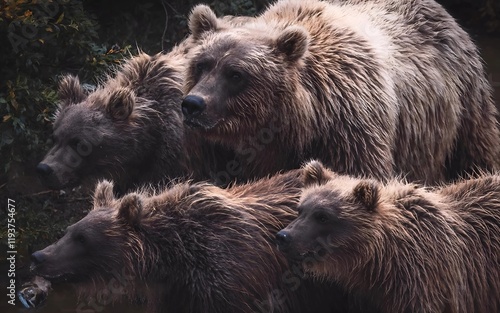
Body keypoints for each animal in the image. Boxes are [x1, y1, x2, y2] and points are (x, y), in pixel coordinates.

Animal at [183, 0, 500, 184]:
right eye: (201, 64)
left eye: (236, 74)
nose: (193, 104)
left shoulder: (348, 129)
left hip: (461, 103)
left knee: (475, 149)